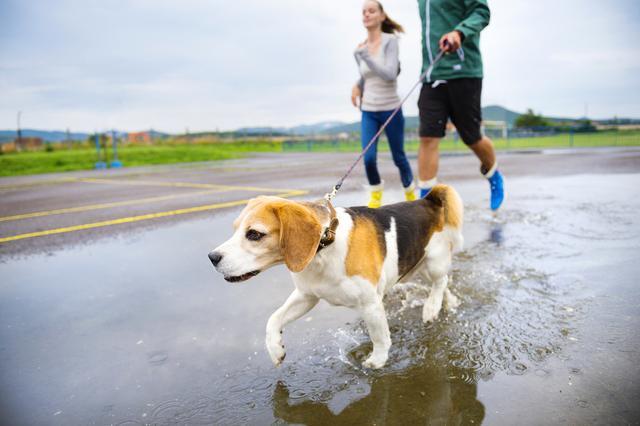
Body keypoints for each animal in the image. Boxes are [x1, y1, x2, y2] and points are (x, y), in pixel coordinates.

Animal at [210, 185, 464, 368]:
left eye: (254, 234)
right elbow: (273, 319)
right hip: (414, 268)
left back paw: (431, 308)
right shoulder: (306, 296)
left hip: (433, 263)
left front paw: (377, 361)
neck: (325, 245)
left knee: (441, 281)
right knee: (443, 284)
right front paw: (275, 349)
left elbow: (380, 336)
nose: (212, 257)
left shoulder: (371, 304)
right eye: (235, 229)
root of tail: (427, 200)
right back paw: (447, 303)